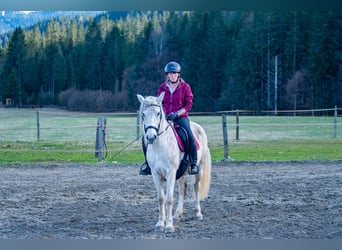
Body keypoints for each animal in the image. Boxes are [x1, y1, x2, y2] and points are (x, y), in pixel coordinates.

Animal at [136, 92, 211, 232]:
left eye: (158, 113)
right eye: (143, 114)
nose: (150, 137)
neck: (159, 145)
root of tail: (198, 127)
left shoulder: (171, 172)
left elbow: (169, 199)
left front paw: (169, 226)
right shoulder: (155, 174)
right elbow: (161, 198)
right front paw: (160, 224)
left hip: (199, 168)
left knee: (196, 188)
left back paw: (198, 214)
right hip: (182, 172)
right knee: (183, 190)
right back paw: (177, 214)